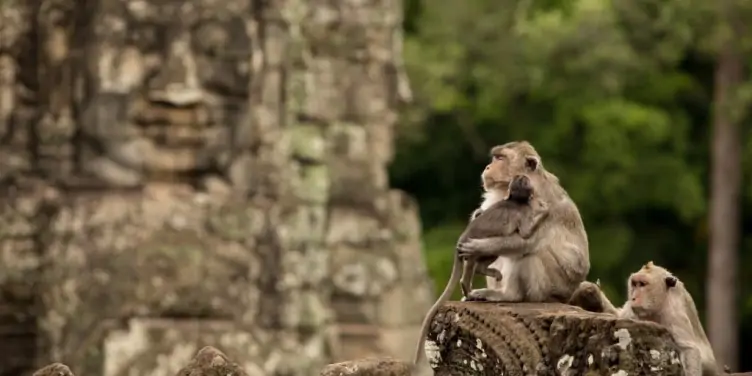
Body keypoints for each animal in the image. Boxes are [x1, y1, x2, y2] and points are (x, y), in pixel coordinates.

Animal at [412, 173, 548, 368]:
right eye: (523, 180)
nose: (523, 176)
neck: (515, 200)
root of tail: (460, 240)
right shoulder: (524, 214)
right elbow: (525, 234)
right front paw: (544, 212)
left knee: (487, 256)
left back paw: (489, 274)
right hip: (469, 247)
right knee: (471, 263)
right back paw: (468, 289)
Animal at [456, 140, 592, 304]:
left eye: (501, 158)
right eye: (495, 157)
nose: (487, 167)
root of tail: (567, 296)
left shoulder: (538, 201)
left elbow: (526, 239)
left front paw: (476, 246)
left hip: (549, 287)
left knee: (527, 252)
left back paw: (509, 295)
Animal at [568, 262, 716, 376]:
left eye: (643, 284)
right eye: (634, 284)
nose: (633, 298)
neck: (658, 305)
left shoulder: (675, 315)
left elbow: (689, 350)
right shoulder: (631, 311)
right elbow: (617, 315)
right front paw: (589, 293)